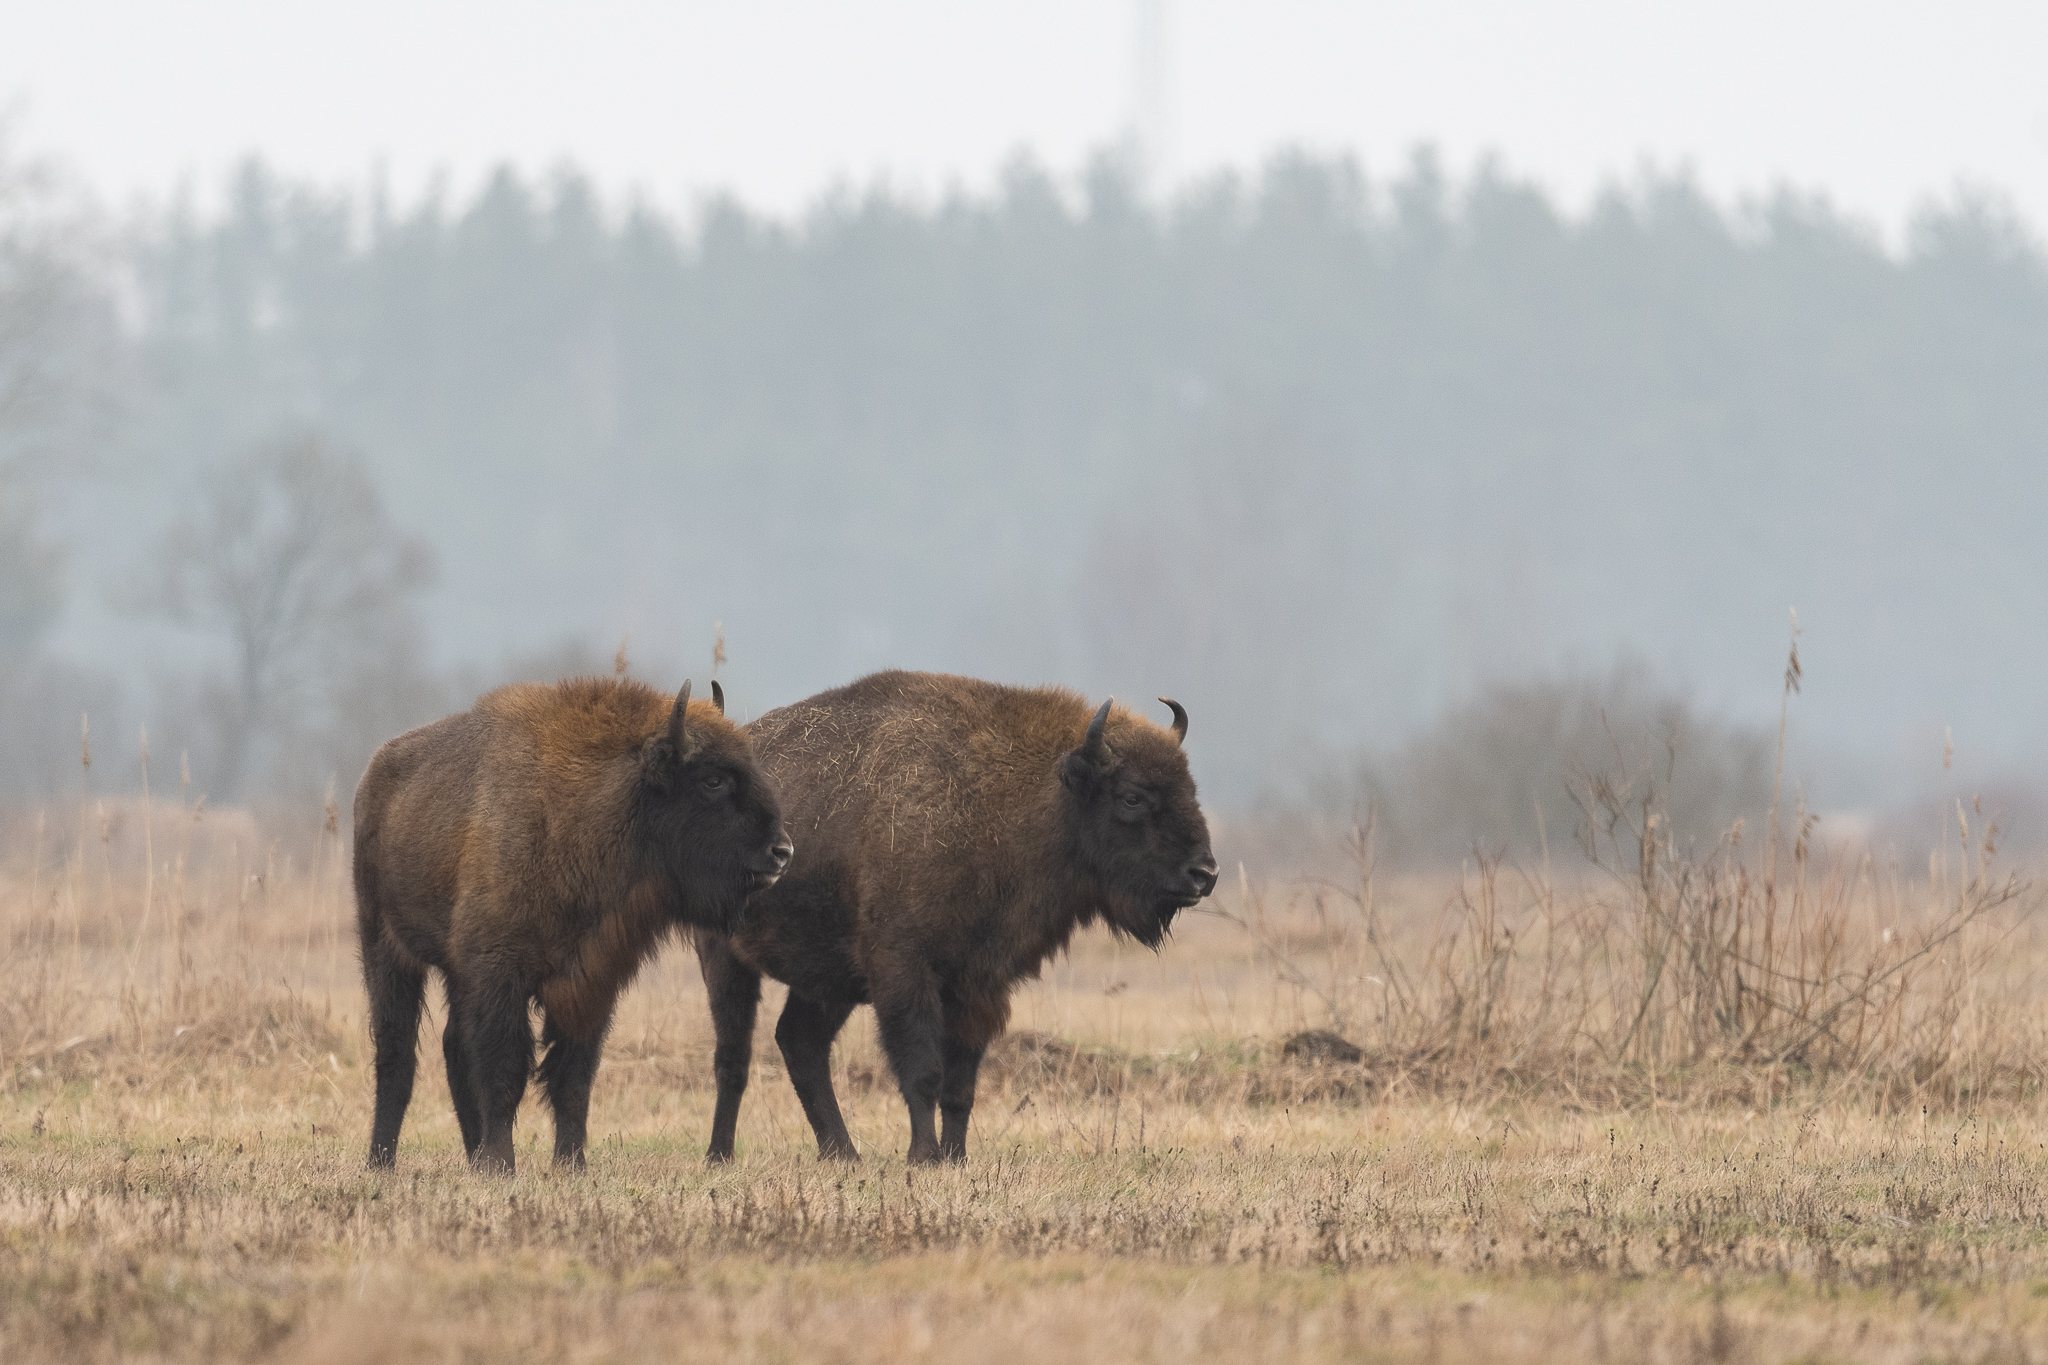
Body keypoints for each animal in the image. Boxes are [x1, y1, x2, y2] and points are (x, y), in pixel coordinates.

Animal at [354, 676, 791, 1173]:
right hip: (386, 948)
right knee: (396, 1053)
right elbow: (504, 1073)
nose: (781, 851)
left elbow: (573, 1080)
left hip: (451, 972)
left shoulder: (589, 982)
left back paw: (470, 1157)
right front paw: (502, 1166)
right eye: (713, 779)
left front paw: (571, 1164)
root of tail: (375, 773)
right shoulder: (497, 976)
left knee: (451, 1050)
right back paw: (382, 1162)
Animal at [696, 669, 1216, 1165]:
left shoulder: (980, 983)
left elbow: (961, 1085)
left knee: (799, 1043)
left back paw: (843, 1155)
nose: (1204, 873)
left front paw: (956, 1159)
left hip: (827, 980)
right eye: (1132, 797)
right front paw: (924, 1157)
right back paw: (721, 1156)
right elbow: (924, 1072)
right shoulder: (903, 972)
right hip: (723, 956)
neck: (1016, 799)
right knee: (734, 1057)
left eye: (1190, 787)